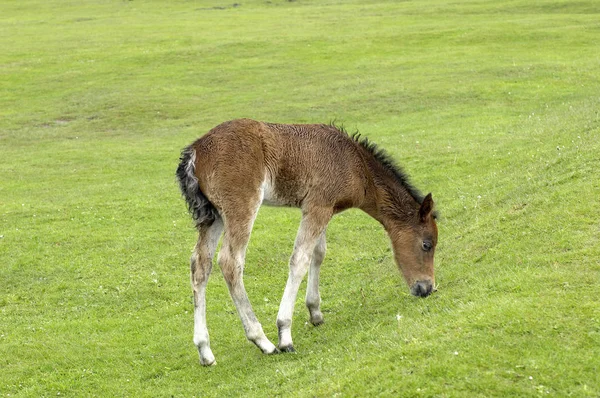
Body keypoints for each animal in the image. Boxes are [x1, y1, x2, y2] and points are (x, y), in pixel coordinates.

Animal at [176, 119, 438, 366]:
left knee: (200, 265)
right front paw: (285, 334)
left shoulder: (320, 207)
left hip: (212, 216)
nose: (427, 288)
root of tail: (195, 151)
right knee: (230, 262)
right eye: (427, 244)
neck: (356, 164)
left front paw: (315, 312)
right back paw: (263, 342)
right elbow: (300, 259)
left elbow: (318, 253)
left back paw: (205, 351)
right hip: (240, 206)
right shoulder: (319, 205)